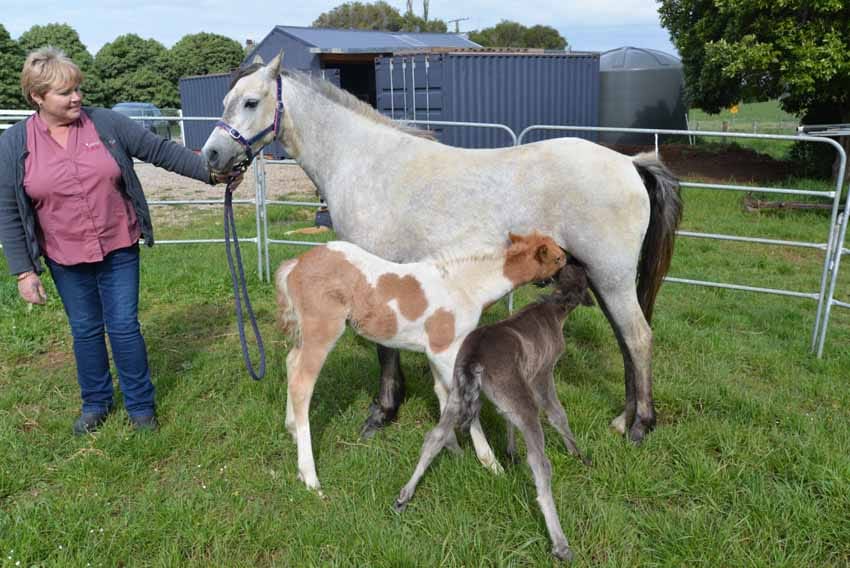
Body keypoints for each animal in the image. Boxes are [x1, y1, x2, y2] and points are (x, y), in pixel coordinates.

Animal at [202, 52, 683, 444]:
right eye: (225, 100)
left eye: (250, 102)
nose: (212, 156)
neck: (363, 162)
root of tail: (630, 163)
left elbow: (384, 346)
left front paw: (381, 413)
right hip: (604, 278)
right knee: (626, 341)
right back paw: (624, 419)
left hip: (611, 276)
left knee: (638, 339)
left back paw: (641, 426)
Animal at [274, 232, 566, 491]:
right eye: (558, 258)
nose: (570, 270)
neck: (465, 287)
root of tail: (295, 265)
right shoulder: (445, 349)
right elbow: (463, 399)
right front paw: (492, 464)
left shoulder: (435, 352)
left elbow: (443, 394)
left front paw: (452, 448)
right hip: (323, 330)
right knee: (302, 383)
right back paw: (309, 476)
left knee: (291, 362)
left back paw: (290, 428)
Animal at [393, 262, 595, 562]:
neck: (554, 307)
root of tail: (475, 357)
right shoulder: (542, 376)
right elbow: (557, 414)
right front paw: (578, 453)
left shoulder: (512, 393)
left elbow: (507, 420)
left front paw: (510, 451)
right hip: (524, 403)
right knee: (539, 463)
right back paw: (560, 544)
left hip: (456, 394)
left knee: (434, 438)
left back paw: (405, 495)